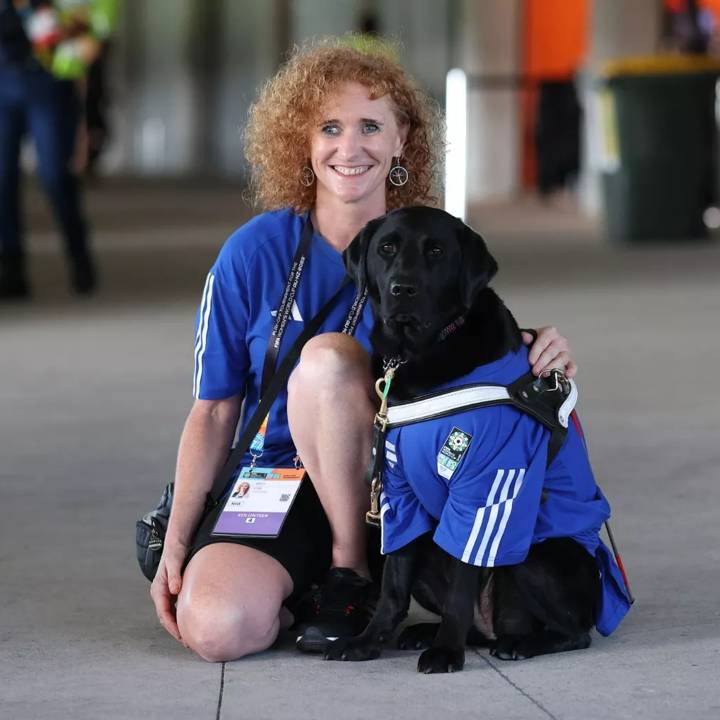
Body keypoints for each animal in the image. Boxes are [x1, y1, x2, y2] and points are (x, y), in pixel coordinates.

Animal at [324, 207, 600, 676]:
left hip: (539, 553)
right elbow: (392, 585)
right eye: (386, 248)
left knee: (572, 632)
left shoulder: (484, 489)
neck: (418, 355)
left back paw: (518, 643)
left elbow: (463, 579)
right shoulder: (398, 493)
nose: (402, 288)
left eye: (436, 252)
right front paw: (366, 641)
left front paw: (446, 652)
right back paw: (427, 633)